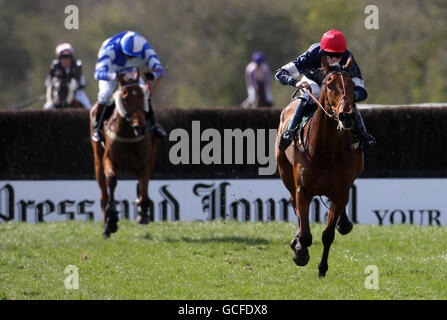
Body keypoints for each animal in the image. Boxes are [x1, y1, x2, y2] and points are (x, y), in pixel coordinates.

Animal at [90, 70, 158, 240]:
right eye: (125, 98)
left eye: (142, 96)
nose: (140, 127)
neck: (129, 134)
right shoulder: (109, 159)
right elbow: (112, 180)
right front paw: (111, 221)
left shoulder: (146, 160)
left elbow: (144, 183)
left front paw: (143, 212)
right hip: (97, 160)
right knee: (103, 194)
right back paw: (106, 226)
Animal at [276, 55, 364, 278]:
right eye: (330, 84)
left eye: (352, 86)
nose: (347, 116)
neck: (326, 151)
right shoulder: (303, 190)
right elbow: (306, 235)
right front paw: (300, 252)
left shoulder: (340, 192)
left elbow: (328, 234)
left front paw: (322, 268)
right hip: (285, 173)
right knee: (294, 204)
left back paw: (344, 222)